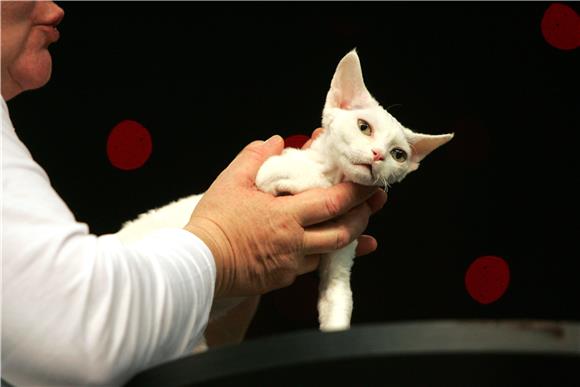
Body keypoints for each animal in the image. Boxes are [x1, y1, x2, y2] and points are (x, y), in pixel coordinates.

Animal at [118, 49, 454, 340]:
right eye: (363, 127)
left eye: (399, 155)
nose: (378, 155)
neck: (334, 171)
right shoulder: (265, 174)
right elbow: (312, 180)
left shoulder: (338, 262)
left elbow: (338, 301)